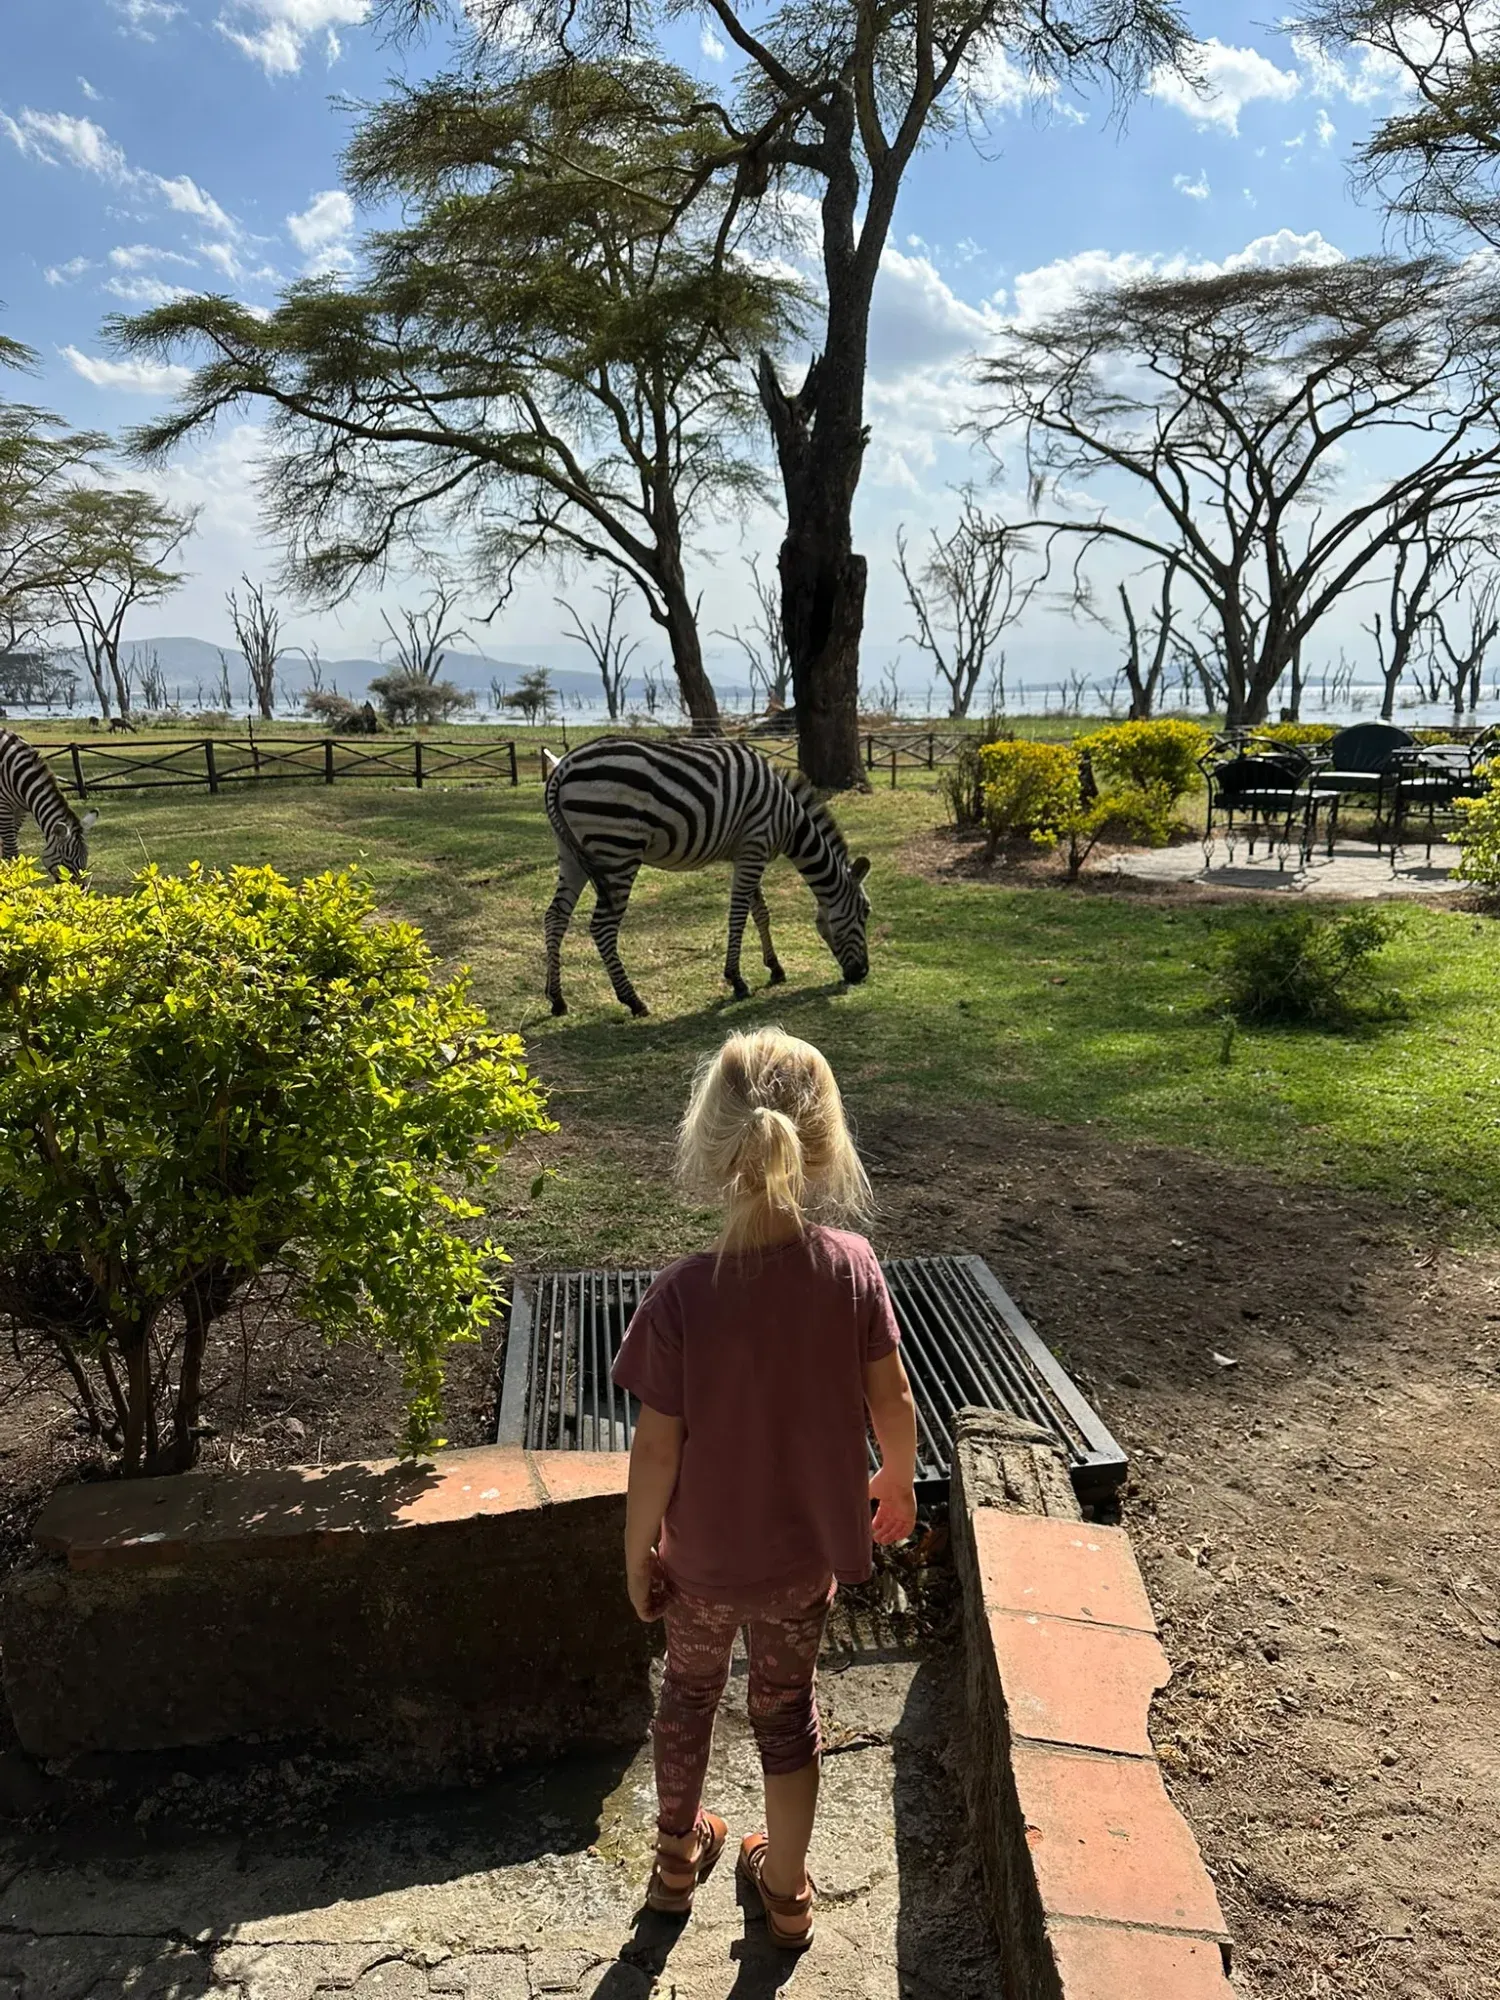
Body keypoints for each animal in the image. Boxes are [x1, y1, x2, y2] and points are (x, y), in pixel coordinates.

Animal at [0, 731, 97, 879]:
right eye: (67, 860)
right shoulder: (4, 807)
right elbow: (11, 851)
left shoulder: (20, 810)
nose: (80, 887)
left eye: (85, 858)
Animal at [542, 738, 871, 1017]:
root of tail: (563, 767)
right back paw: (633, 1001)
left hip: (572, 854)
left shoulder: (748, 852)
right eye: (865, 913)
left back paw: (557, 999)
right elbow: (739, 915)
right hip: (618, 851)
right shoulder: (755, 845)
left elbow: (760, 912)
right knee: (602, 927)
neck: (788, 818)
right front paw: (737, 980)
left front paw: (775, 968)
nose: (863, 974)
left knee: (555, 917)